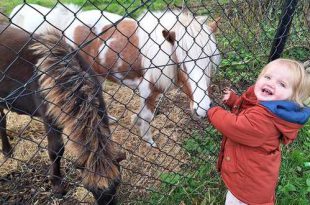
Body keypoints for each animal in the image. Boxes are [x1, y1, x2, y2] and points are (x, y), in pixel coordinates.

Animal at [0, 24, 124, 204]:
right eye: (90, 188)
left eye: (117, 183)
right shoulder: (50, 118)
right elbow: (56, 150)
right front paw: (57, 185)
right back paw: (7, 150)